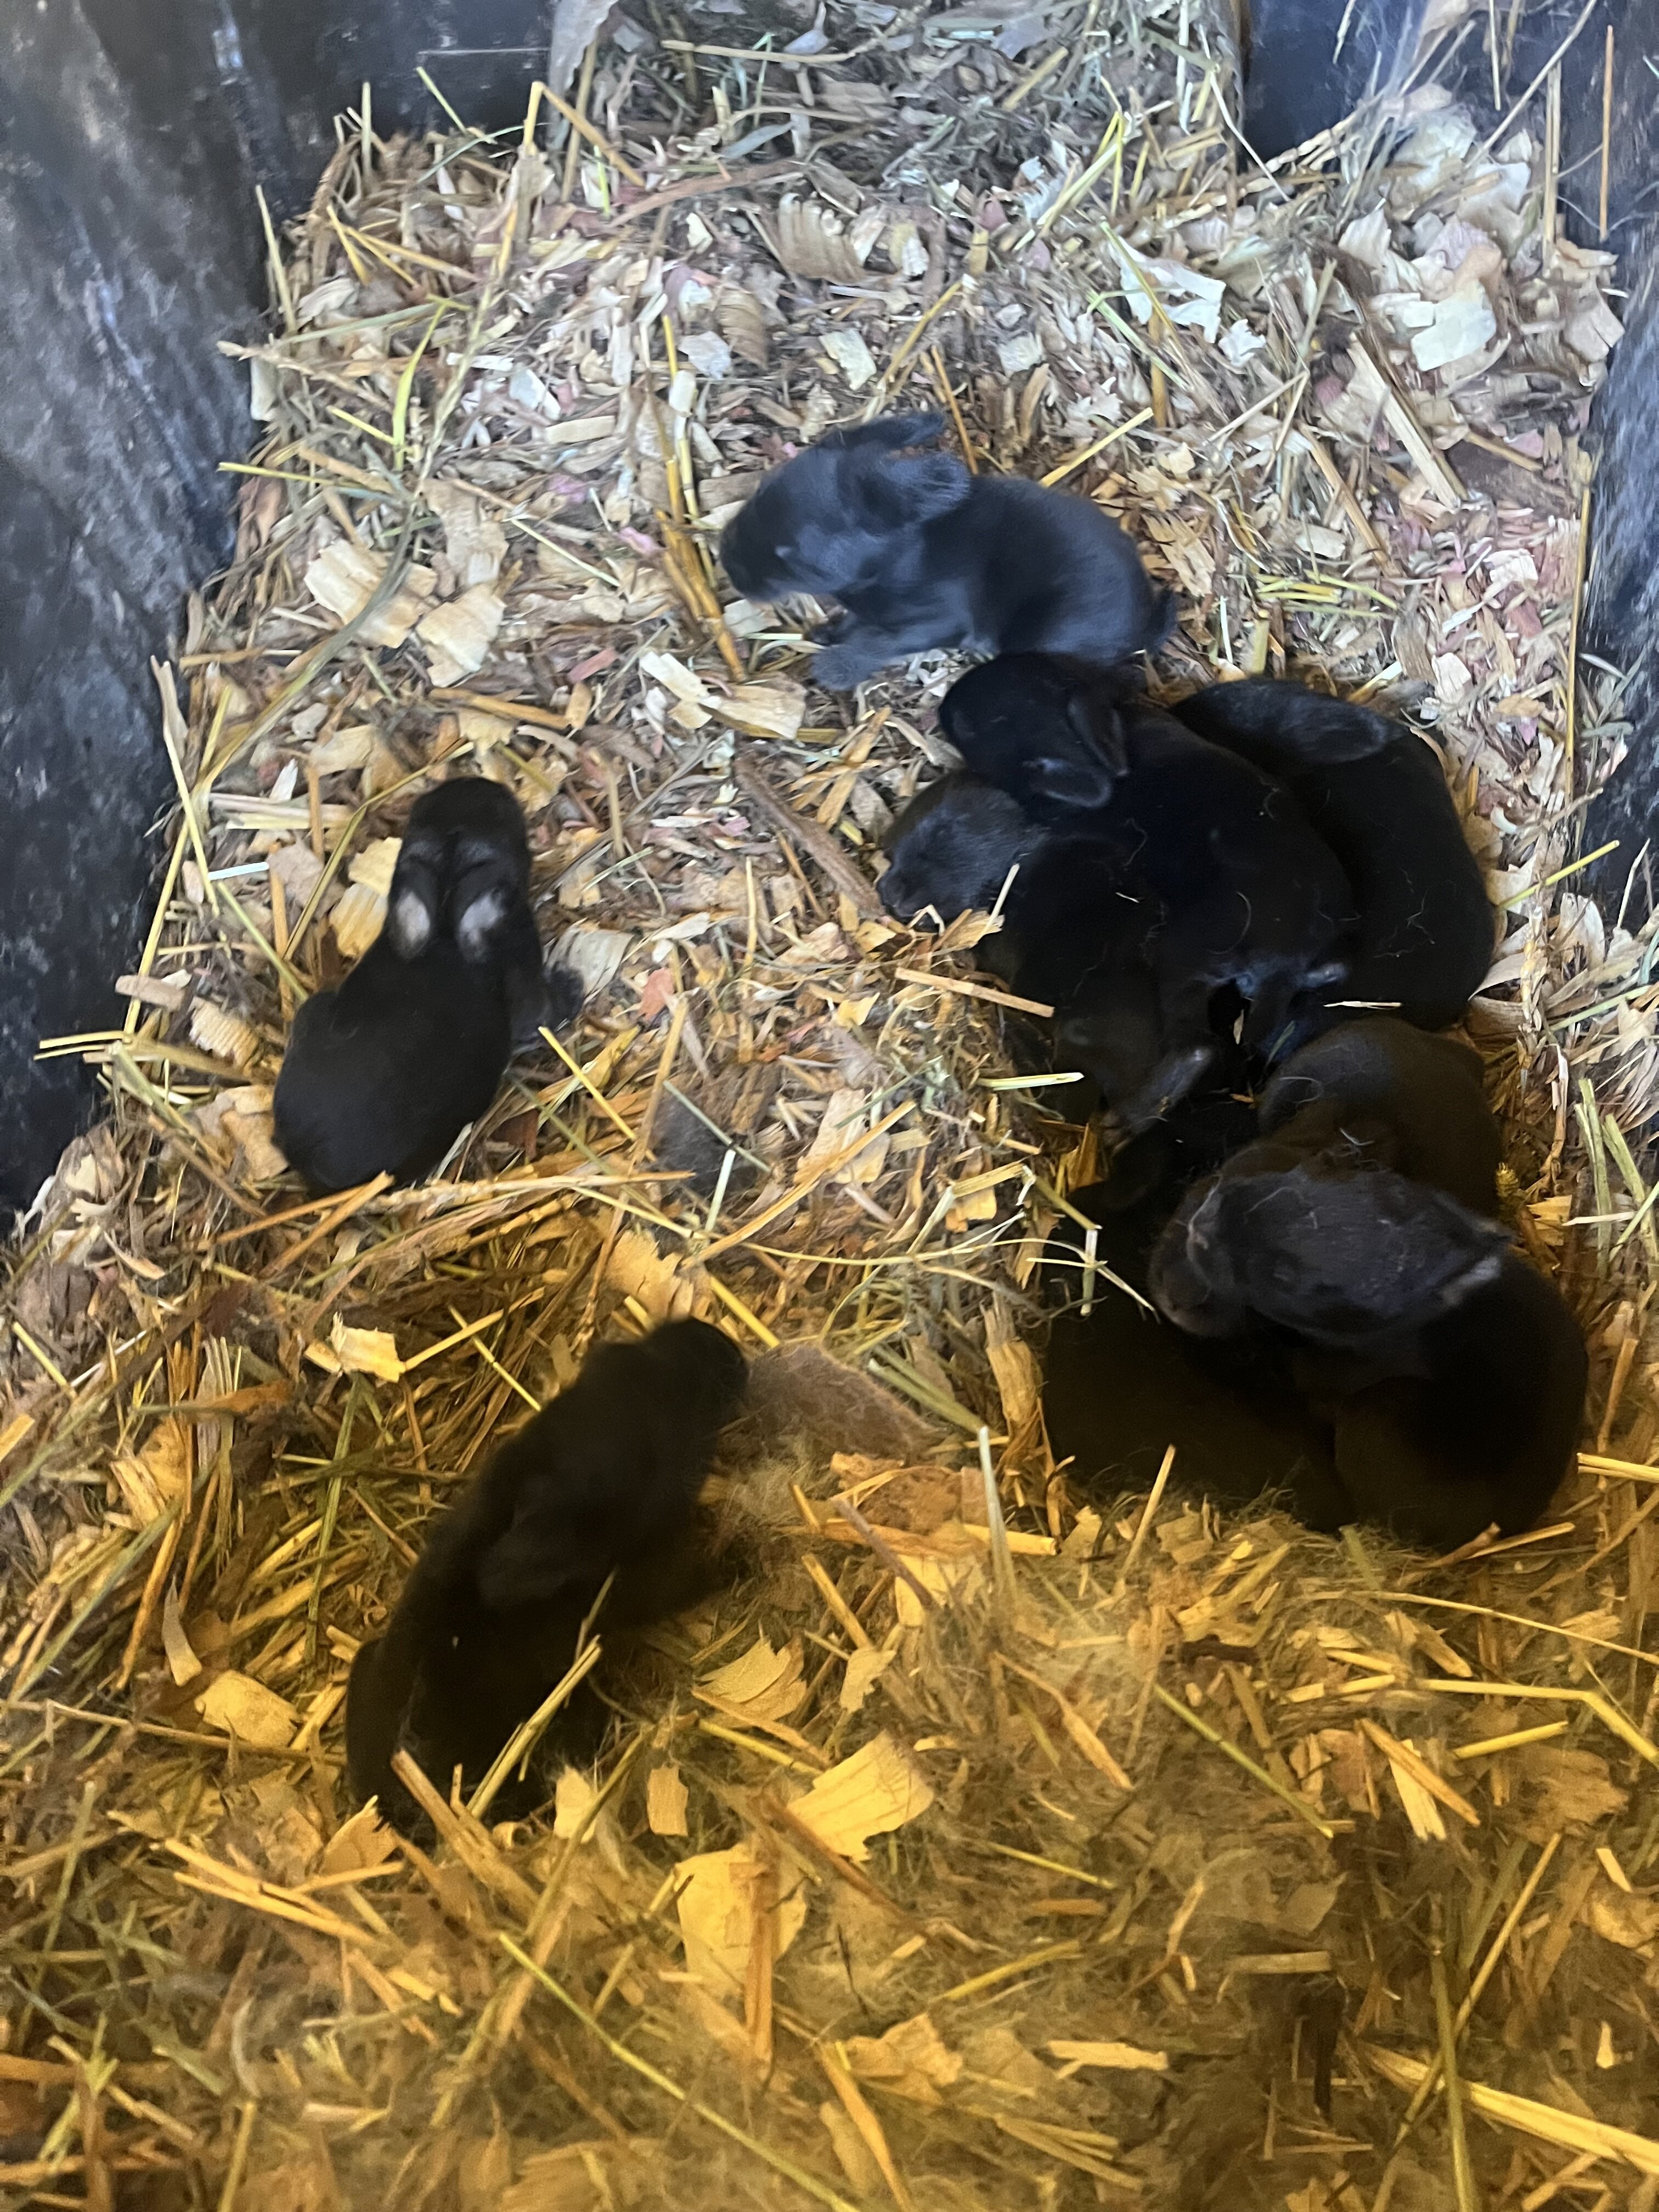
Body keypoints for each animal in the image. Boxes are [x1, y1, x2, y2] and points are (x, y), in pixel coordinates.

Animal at [274, 778, 581, 1193]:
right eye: (510, 827)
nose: (482, 783)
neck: (446, 931)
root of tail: (306, 1151)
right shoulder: (526, 978)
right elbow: (541, 1014)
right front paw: (573, 986)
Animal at [346, 1318, 749, 1833]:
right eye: (675, 1437)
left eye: (615, 1355)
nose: (721, 1345)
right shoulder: (640, 1582)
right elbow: (685, 1579)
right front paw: (739, 1556)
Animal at [718, 413, 1174, 690]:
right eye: (759, 495)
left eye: (792, 556)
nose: (726, 561)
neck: (896, 560)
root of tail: (1147, 618)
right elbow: (856, 625)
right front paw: (828, 635)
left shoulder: (938, 621)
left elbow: (877, 643)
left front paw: (837, 668)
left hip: (1051, 634)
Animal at [938, 656, 1354, 1123]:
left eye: (967, 725)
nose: (945, 705)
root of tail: (1282, 963)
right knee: (1335, 970)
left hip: (1185, 955)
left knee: (1196, 1049)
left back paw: (1123, 1119)